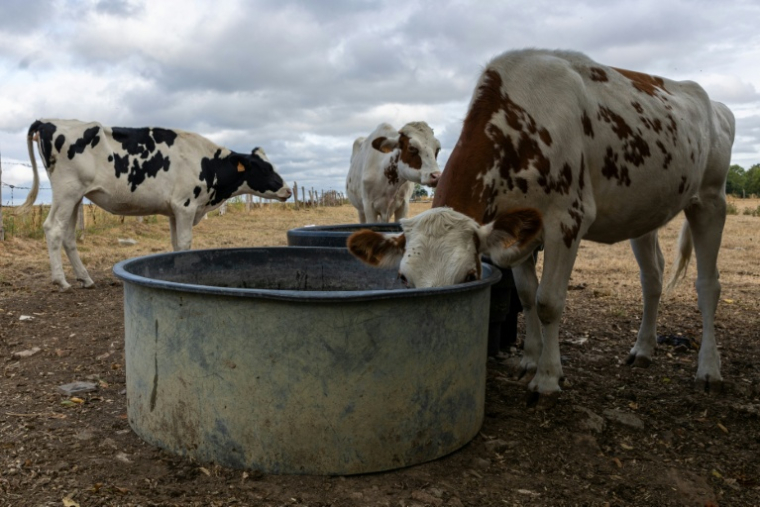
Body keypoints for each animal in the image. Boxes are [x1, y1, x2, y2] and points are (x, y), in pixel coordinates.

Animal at [17, 119, 292, 291]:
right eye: (263, 168)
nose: (288, 190)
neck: (208, 163)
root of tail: (48, 121)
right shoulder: (186, 206)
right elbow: (185, 243)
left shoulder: (174, 210)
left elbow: (175, 244)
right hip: (67, 190)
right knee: (53, 228)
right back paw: (61, 281)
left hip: (75, 196)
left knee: (68, 235)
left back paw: (85, 278)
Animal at [347, 49, 736, 403]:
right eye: (403, 278)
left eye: (469, 276)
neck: (520, 125)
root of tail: (715, 104)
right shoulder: (518, 228)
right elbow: (526, 295)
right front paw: (529, 360)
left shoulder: (567, 220)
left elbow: (548, 300)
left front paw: (548, 377)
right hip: (644, 212)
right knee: (652, 277)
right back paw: (643, 349)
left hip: (710, 200)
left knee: (708, 285)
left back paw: (709, 369)